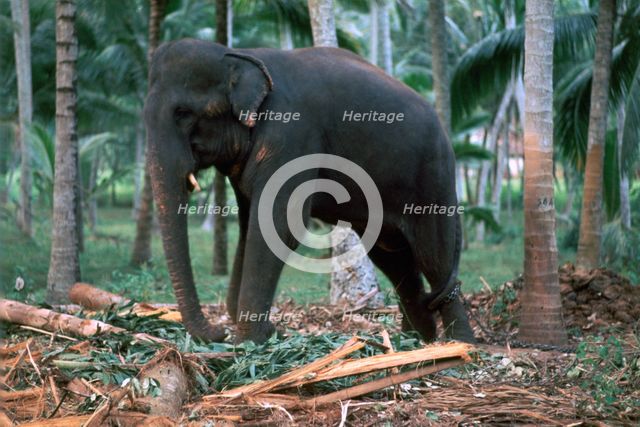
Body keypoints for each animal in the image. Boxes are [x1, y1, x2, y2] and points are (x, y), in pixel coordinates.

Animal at [143, 38, 476, 344]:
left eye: (183, 113)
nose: (217, 333)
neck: (240, 54)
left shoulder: (292, 134)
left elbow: (277, 226)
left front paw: (250, 342)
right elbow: (250, 225)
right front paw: (259, 332)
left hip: (433, 178)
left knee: (433, 254)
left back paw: (460, 344)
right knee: (394, 258)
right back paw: (417, 340)